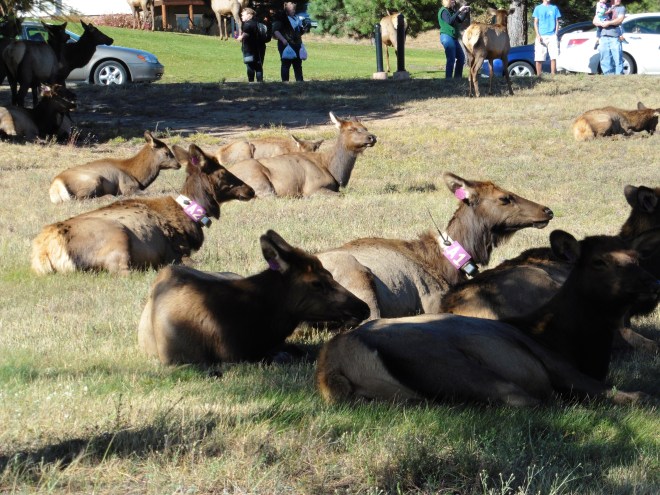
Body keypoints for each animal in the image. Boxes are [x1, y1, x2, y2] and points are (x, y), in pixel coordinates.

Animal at [31, 144, 255, 275]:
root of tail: (46, 250)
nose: (250, 189)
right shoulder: (177, 250)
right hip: (118, 238)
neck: (190, 218)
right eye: (223, 172)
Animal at [49, 131, 181, 203]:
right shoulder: (128, 187)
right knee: (80, 198)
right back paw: (110, 197)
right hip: (94, 179)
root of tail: (57, 183)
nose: (178, 164)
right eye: (167, 152)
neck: (138, 176)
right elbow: (150, 193)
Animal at [228, 112, 377, 197]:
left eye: (365, 127)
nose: (372, 137)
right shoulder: (313, 187)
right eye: (351, 129)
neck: (335, 172)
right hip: (259, 182)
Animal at [316, 229, 660, 407]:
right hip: (453, 365)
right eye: (599, 262)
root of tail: (332, 365)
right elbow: (627, 392)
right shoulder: (559, 366)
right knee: (527, 399)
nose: (651, 283)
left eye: (637, 257)